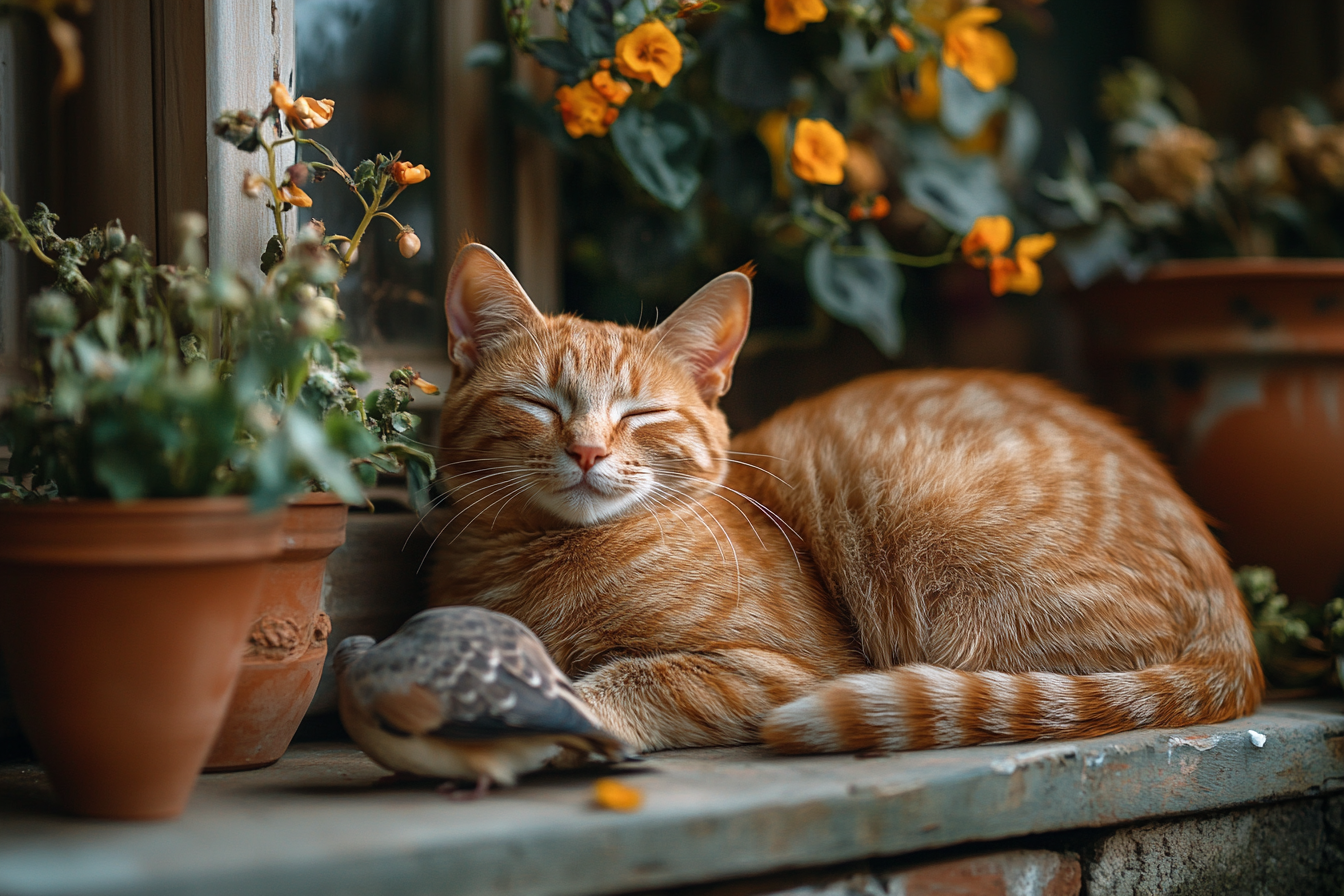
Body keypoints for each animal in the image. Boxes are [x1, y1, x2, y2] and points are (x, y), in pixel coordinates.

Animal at [427, 241, 1257, 752]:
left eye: (642, 414)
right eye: (537, 404)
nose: (588, 450)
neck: (545, 559)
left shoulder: (782, 669)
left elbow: (639, 675)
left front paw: (568, 711)